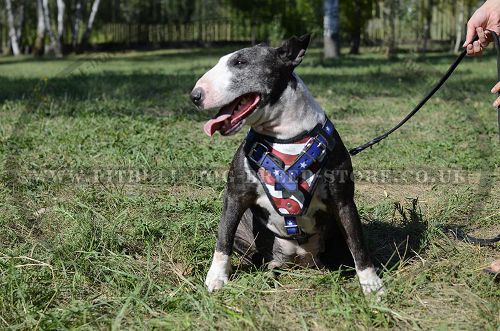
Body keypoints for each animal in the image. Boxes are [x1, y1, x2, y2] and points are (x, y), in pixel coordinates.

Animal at [190, 35, 382, 296]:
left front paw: (372, 284)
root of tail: (298, 259)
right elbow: (223, 238)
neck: (284, 136)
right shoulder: (235, 196)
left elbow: (358, 244)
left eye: (240, 62)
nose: (195, 96)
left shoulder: (343, 202)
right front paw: (216, 278)